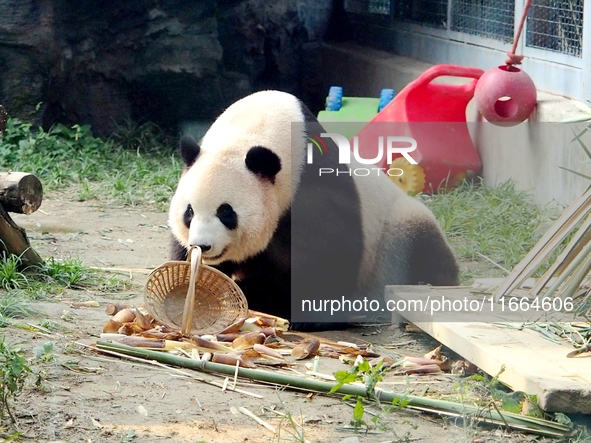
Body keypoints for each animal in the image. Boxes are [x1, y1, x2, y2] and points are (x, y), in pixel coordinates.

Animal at [169, 90, 460, 330]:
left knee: (422, 250)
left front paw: (308, 316)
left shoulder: (312, 187)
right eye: (189, 212)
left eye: (226, 212)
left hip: (399, 230)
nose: (202, 245)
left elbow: (329, 252)